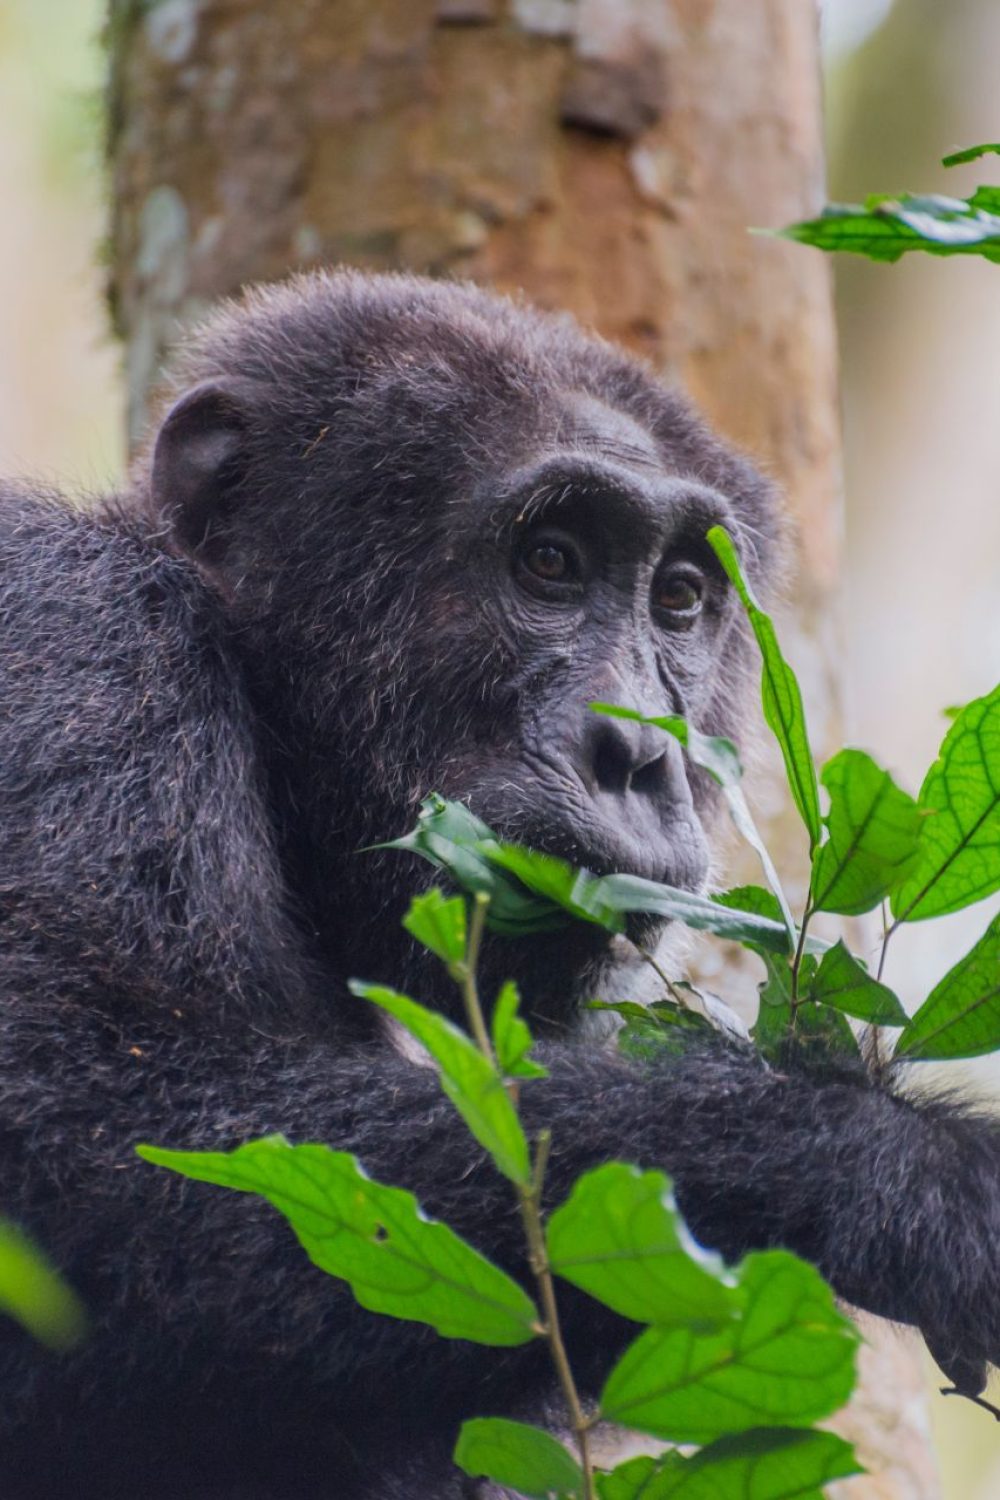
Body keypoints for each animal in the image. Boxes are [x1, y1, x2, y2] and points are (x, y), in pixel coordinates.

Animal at [0, 269, 997, 1498]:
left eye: (678, 598)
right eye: (551, 561)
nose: (640, 752)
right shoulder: (74, 650)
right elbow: (95, 1139)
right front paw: (910, 1173)